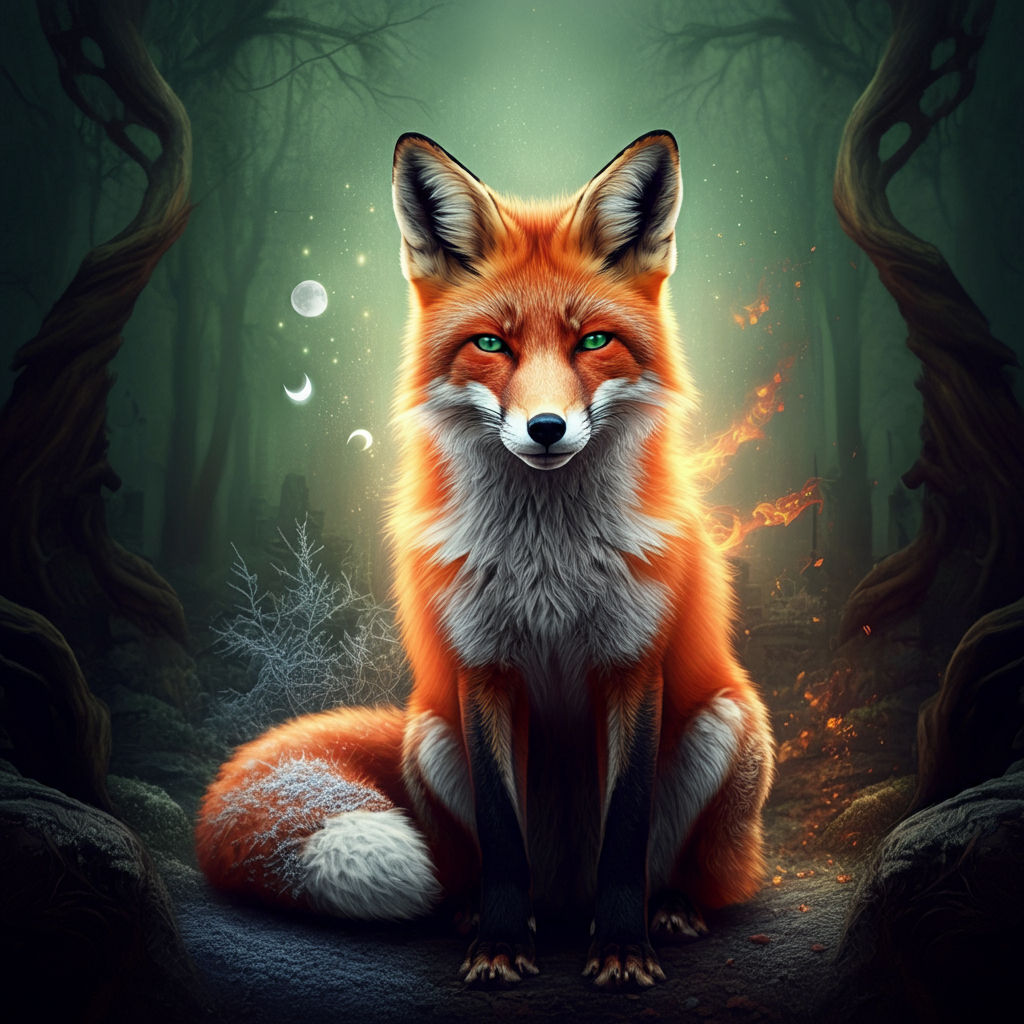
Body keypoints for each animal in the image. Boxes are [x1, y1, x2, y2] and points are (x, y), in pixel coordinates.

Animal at [196, 130, 775, 988]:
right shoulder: (482, 667)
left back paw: (666, 910)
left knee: (675, 867)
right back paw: (486, 915)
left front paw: (622, 950)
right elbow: (502, 834)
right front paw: (500, 947)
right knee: (486, 865)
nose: (546, 428)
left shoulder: (634, 664)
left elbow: (627, 829)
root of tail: (564, 894)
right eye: (492, 344)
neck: (549, 566)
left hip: (728, 721)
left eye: (592, 340)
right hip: (429, 735)